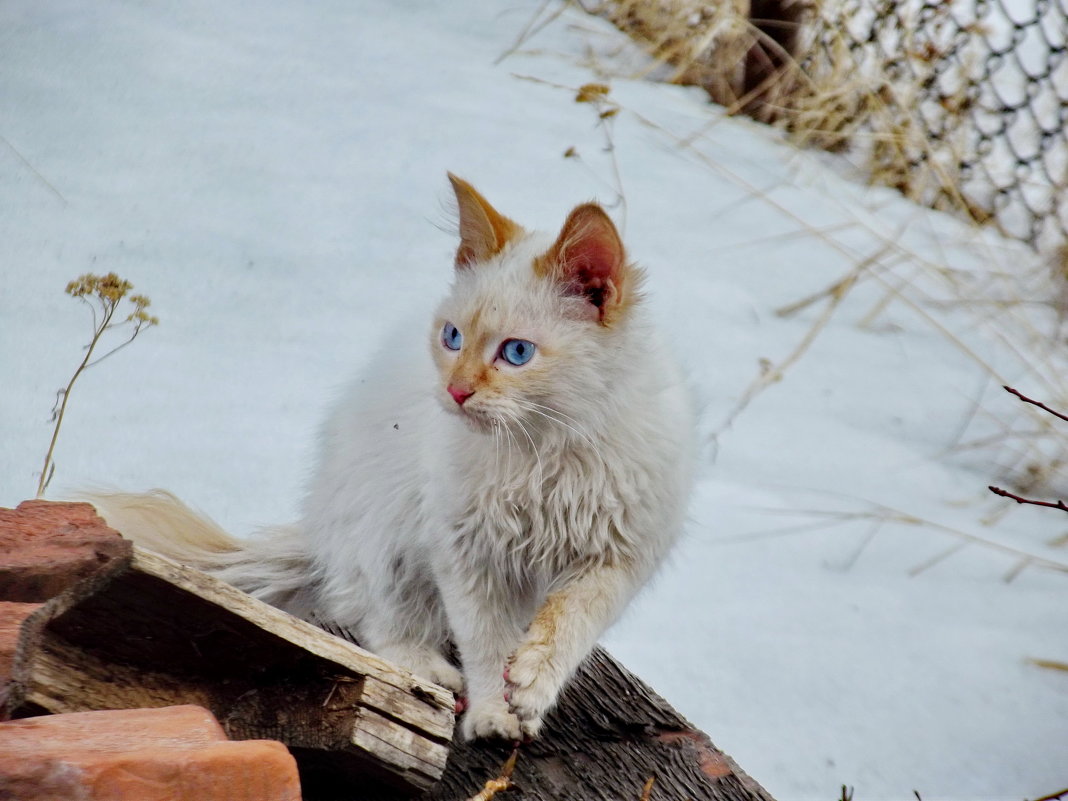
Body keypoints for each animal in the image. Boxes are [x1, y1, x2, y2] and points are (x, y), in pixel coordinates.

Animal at [89, 178, 692, 743]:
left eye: (517, 352)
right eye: (452, 338)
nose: (455, 392)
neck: (543, 449)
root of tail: (319, 532)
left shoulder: (622, 551)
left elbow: (571, 622)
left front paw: (533, 684)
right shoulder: (463, 547)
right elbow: (483, 641)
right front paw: (493, 713)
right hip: (385, 533)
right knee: (376, 616)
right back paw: (426, 669)